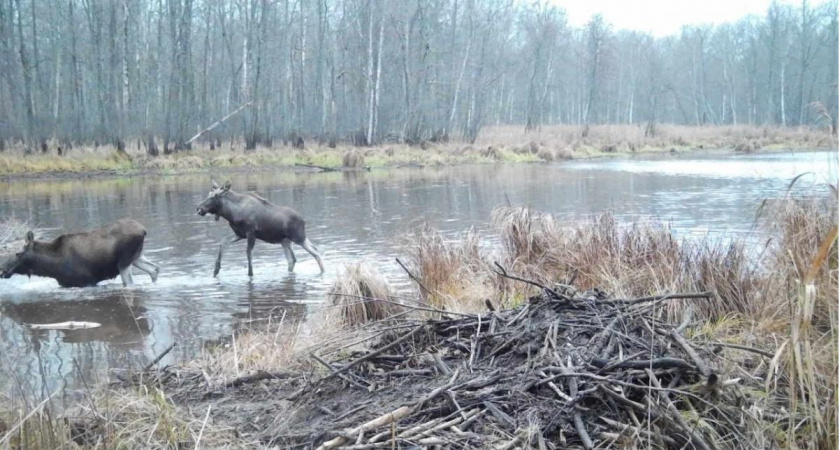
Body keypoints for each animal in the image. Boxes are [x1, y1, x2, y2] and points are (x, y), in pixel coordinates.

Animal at [0, 219, 160, 288]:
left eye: (18, 253)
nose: (3, 270)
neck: (51, 268)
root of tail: (143, 230)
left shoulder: (87, 282)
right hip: (137, 257)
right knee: (154, 269)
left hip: (124, 262)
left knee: (131, 282)